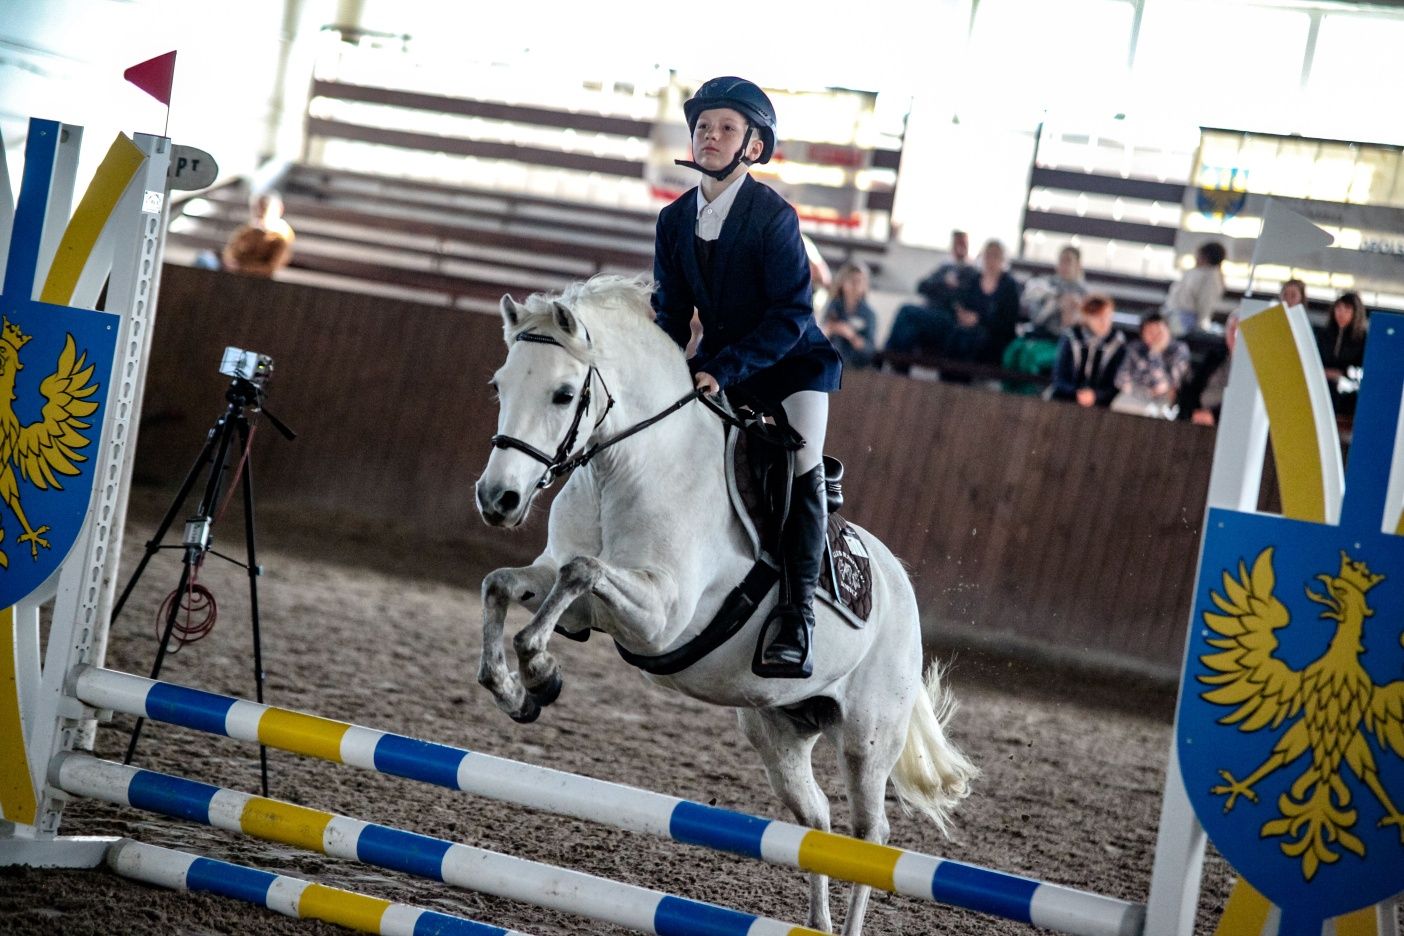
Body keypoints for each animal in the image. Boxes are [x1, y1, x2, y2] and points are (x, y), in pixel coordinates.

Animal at [471, 275, 977, 931]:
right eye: (499, 385)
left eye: (562, 394)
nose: (498, 499)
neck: (627, 468)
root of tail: (900, 589)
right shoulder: (565, 586)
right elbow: (504, 585)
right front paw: (514, 691)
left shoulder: (659, 616)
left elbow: (579, 577)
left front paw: (540, 670)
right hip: (778, 730)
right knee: (817, 824)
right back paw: (817, 923)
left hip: (868, 741)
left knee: (871, 837)